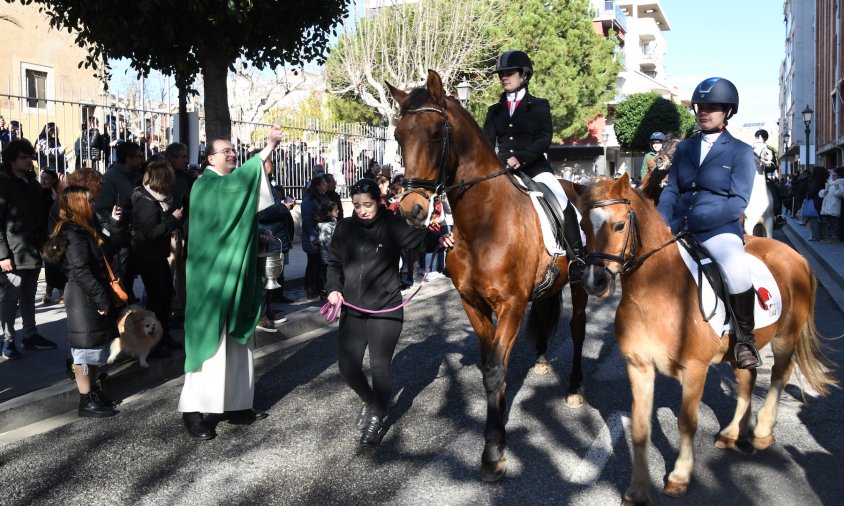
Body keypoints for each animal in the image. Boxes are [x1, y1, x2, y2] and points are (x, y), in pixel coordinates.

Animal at [388, 70, 588, 482]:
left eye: (436, 133)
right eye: (398, 135)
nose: (412, 210)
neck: (484, 223)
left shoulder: (511, 305)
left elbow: (496, 369)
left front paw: (493, 450)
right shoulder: (472, 304)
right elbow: (488, 366)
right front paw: (496, 429)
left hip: (579, 285)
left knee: (577, 329)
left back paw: (575, 389)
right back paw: (542, 360)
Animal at [572, 174, 836, 502]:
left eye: (620, 225)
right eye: (584, 226)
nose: (594, 282)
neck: (657, 290)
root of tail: (793, 255)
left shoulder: (695, 368)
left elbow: (687, 422)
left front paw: (679, 476)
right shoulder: (638, 366)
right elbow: (639, 427)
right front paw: (638, 489)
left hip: (786, 337)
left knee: (779, 375)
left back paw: (761, 433)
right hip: (741, 348)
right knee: (747, 379)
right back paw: (733, 433)